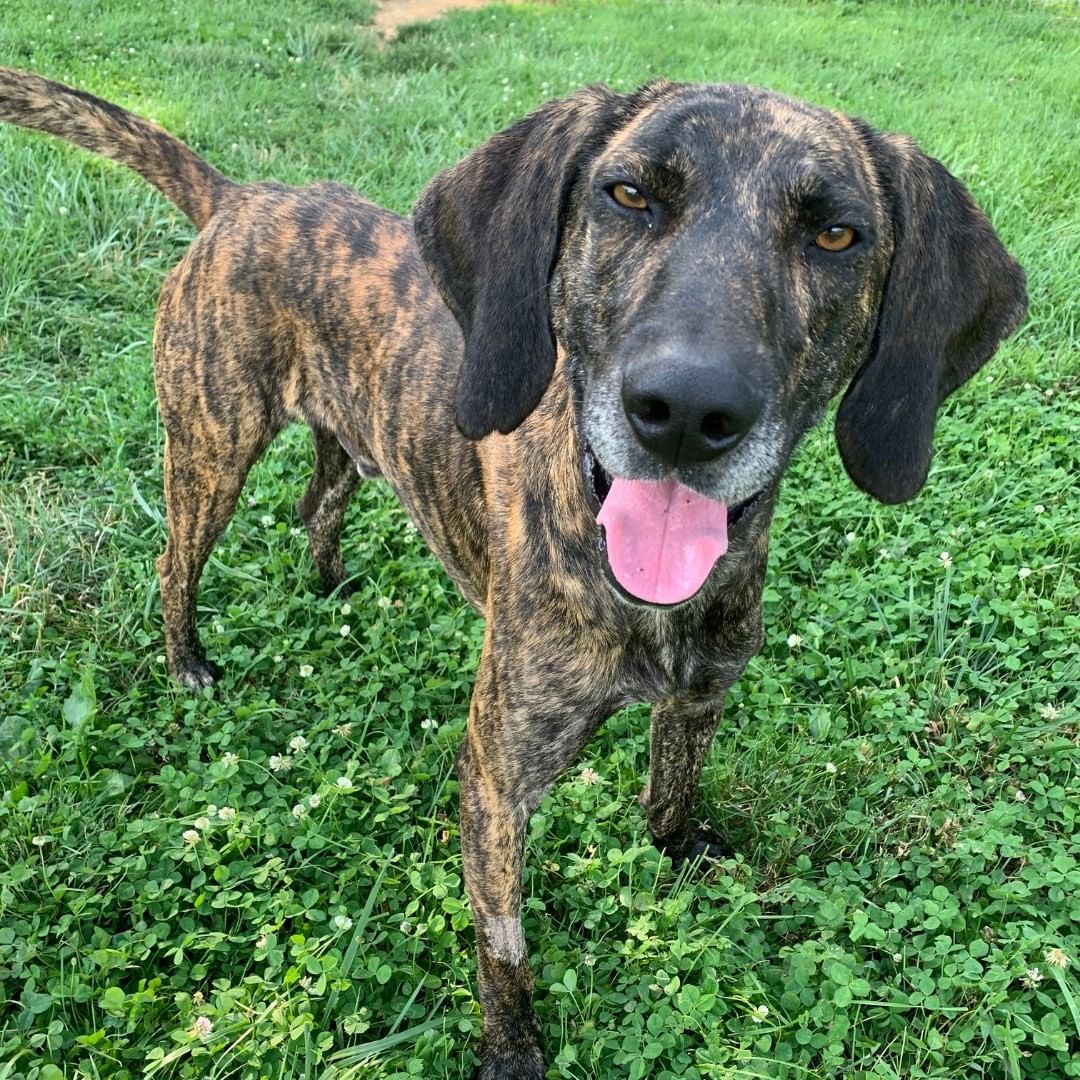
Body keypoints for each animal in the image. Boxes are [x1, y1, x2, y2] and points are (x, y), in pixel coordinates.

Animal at [2, 71, 1028, 1075]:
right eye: (628, 195)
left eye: (835, 234)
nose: (685, 410)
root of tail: (240, 198)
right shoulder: (497, 778)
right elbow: (505, 947)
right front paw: (511, 1049)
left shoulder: (699, 698)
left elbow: (671, 792)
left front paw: (681, 850)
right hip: (212, 447)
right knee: (176, 560)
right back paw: (188, 661)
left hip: (346, 439)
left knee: (318, 503)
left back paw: (331, 585)